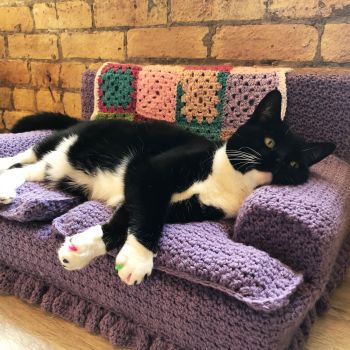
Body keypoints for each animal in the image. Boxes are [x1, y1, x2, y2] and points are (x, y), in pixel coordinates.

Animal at [0, 90, 334, 284]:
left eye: (294, 164)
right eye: (269, 142)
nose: (276, 163)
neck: (227, 180)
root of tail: (84, 119)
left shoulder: (183, 205)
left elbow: (129, 217)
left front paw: (82, 249)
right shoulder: (151, 171)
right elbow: (148, 214)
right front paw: (139, 259)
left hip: (63, 171)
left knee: (29, 171)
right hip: (67, 141)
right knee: (24, 156)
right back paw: (5, 177)